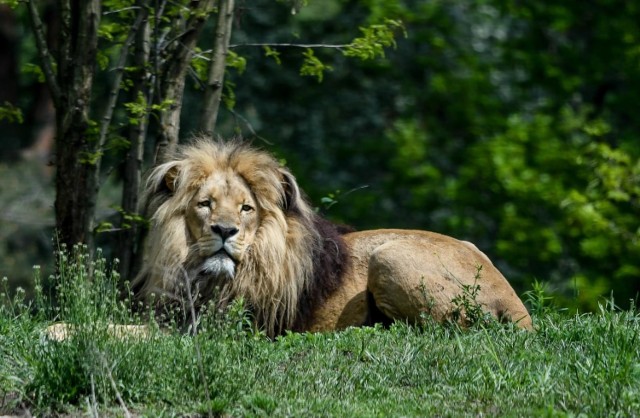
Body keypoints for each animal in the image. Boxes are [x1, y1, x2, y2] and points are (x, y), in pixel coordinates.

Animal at [132, 137, 532, 336]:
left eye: (246, 209)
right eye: (205, 204)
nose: (225, 231)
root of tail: (514, 299)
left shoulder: (222, 329)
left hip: (389, 257)